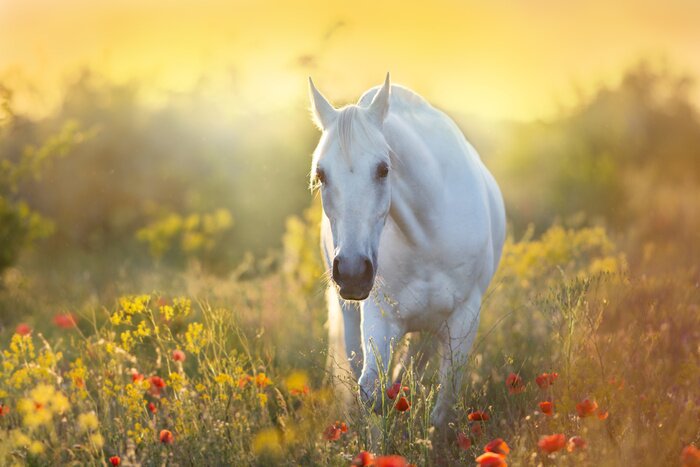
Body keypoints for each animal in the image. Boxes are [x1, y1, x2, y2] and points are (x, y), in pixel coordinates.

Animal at [308, 73, 506, 428]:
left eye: (383, 169)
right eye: (321, 174)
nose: (353, 272)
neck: (426, 237)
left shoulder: (464, 317)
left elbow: (444, 402)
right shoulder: (380, 315)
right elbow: (371, 390)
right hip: (352, 316)